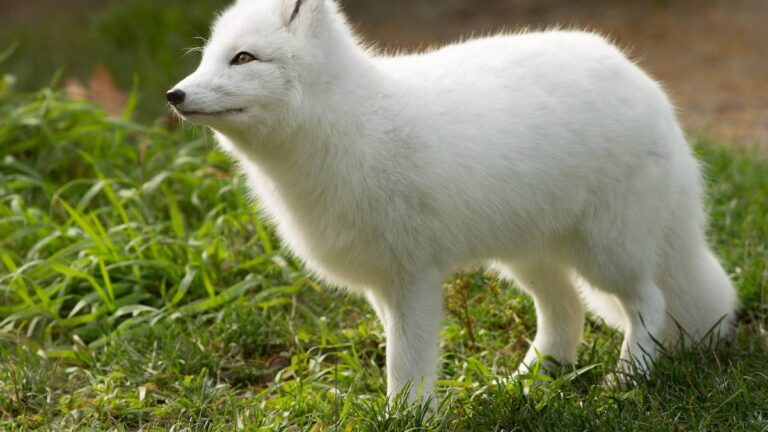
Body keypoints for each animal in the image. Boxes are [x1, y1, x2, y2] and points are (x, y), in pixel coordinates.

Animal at [168, 0, 737, 405]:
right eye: (206, 58)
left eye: (243, 58)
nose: (174, 95)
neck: (349, 127)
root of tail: (644, 83)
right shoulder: (382, 283)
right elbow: (400, 357)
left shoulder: (413, 275)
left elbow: (406, 363)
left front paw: (408, 418)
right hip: (526, 257)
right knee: (567, 315)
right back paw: (524, 386)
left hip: (606, 252)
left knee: (650, 302)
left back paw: (626, 381)